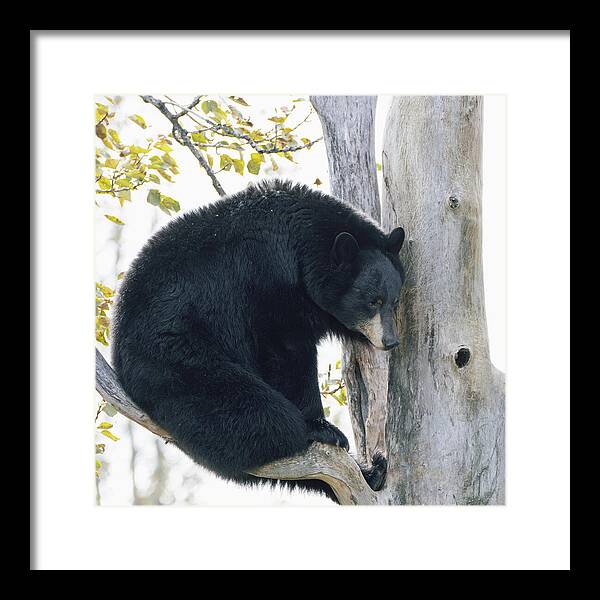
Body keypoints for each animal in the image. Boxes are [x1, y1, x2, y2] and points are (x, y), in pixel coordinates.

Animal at [112, 178, 406, 502]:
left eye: (394, 301)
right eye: (373, 301)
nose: (390, 341)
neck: (300, 247)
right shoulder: (266, 281)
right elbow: (286, 352)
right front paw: (320, 424)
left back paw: (372, 472)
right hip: (176, 357)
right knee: (254, 412)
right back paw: (307, 432)